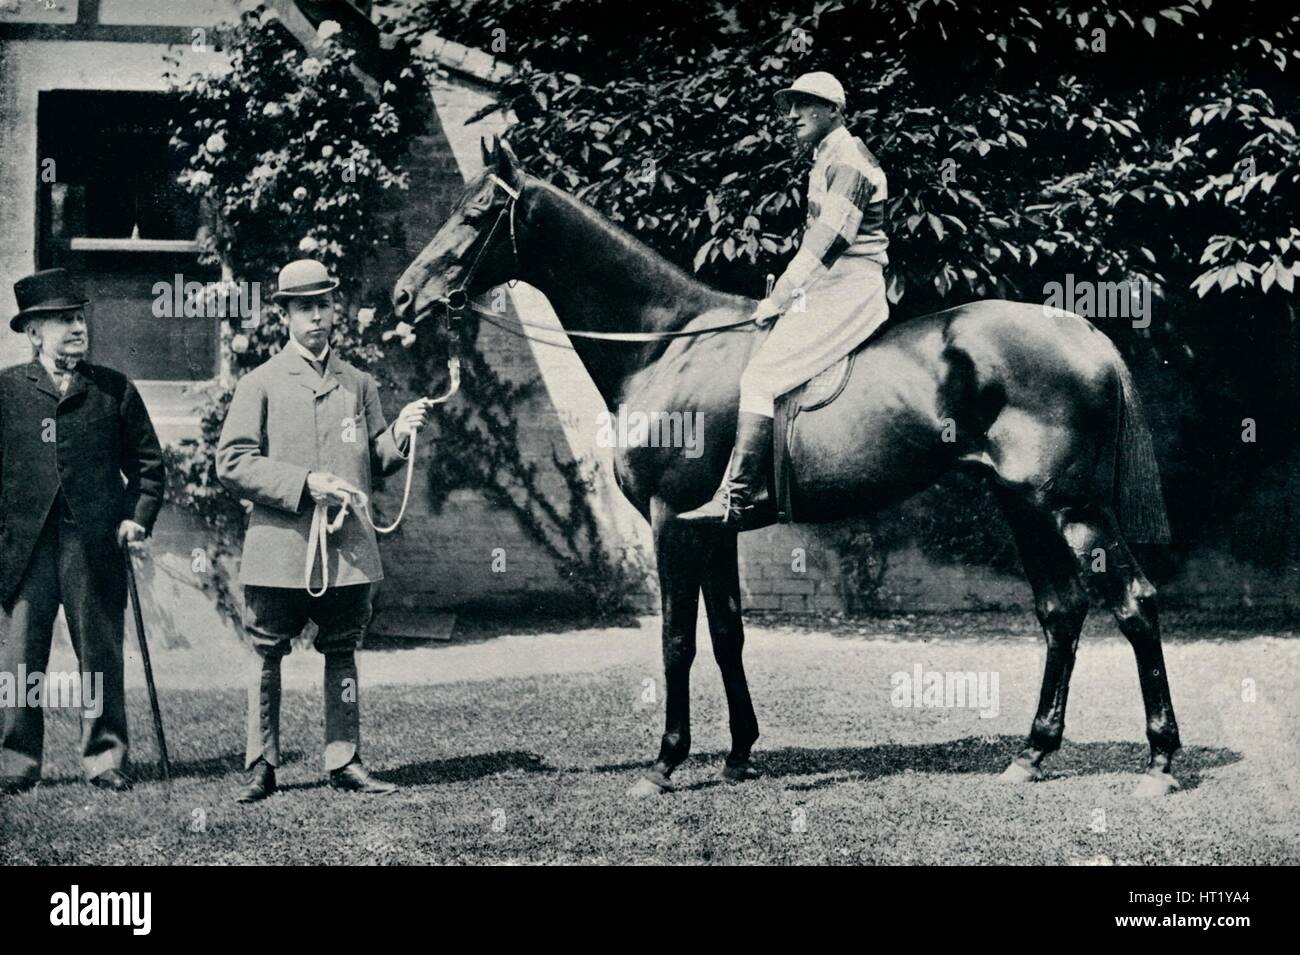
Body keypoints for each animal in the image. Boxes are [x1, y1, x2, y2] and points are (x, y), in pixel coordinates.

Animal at [390, 136, 1185, 800]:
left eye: (476, 213)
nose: (403, 296)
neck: (668, 345)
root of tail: (1080, 329)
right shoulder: (714, 530)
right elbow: (726, 634)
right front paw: (739, 753)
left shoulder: (673, 524)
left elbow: (676, 640)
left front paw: (666, 763)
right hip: (1024, 506)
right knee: (1062, 610)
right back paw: (1032, 753)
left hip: (1073, 509)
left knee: (1133, 602)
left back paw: (1161, 761)